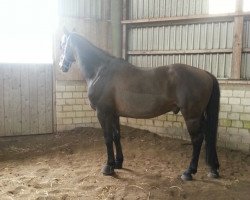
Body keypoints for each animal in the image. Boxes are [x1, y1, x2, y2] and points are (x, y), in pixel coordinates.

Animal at [58, 28, 219, 180]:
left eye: (62, 44)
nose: (61, 66)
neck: (100, 70)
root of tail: (206, 73)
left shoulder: (102, 113)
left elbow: (107, 138)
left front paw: (108, 167)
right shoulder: (113, 113)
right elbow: (116, 136)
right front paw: (118, 163)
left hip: (191, 116)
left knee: (197, 139)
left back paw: (189, 172)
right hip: (199, 116)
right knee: (208, 135)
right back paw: (213, 168)